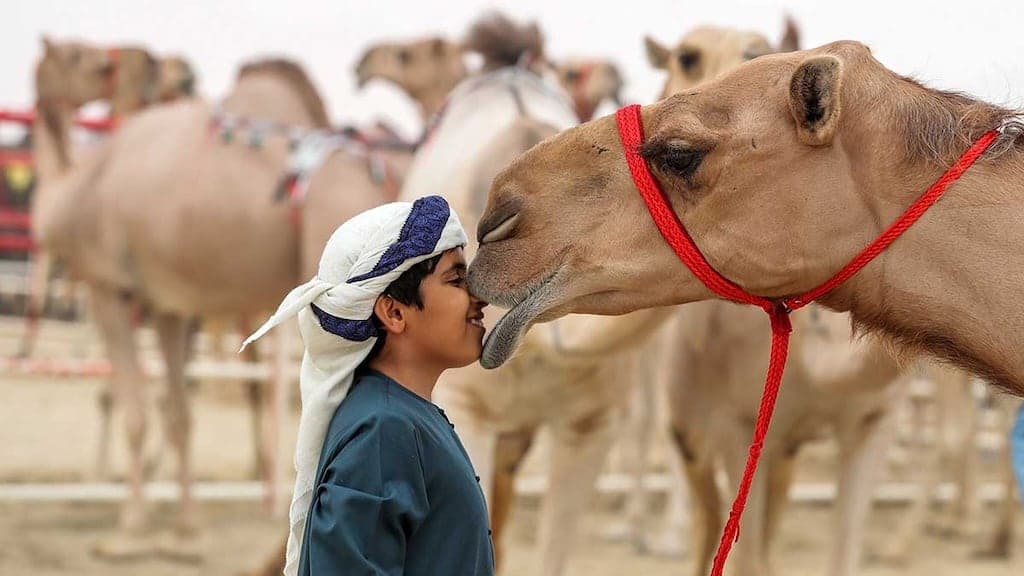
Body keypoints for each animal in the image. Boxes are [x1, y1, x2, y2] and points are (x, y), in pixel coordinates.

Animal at [32, 56, 396, 559]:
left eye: (96, 63)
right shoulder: (166, 304)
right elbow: (178, 412)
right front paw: (186, 525)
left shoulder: (108, 286)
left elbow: (135, 414)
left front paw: (130, 526)